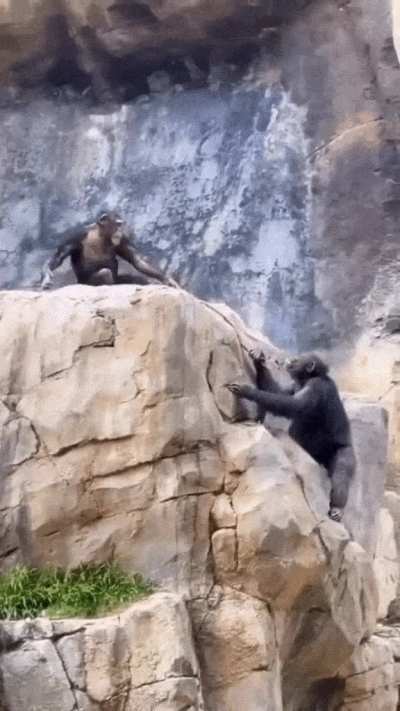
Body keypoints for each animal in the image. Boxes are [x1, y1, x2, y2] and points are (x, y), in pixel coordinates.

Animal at [40, 212, 178, 290]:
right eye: (118, 224)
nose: (120, 230)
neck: (100, 235)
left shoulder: (123, 240)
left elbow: (137, 259)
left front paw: (168, 280)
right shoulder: (75, 236)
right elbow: (59, 255)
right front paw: (46, 276)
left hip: (118, 280)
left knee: (137, 278)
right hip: (85, 283)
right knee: (105, 273)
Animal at [227, 352, 355, 523]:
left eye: (299, 359)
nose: (291, 359)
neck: (308, 378)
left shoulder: (316, 387)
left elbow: (291, 405)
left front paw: (247, 391)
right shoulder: (294, 387)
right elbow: (278, 393)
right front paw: (259, 361)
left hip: (344, 451)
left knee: (342, 473)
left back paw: (337, 508)